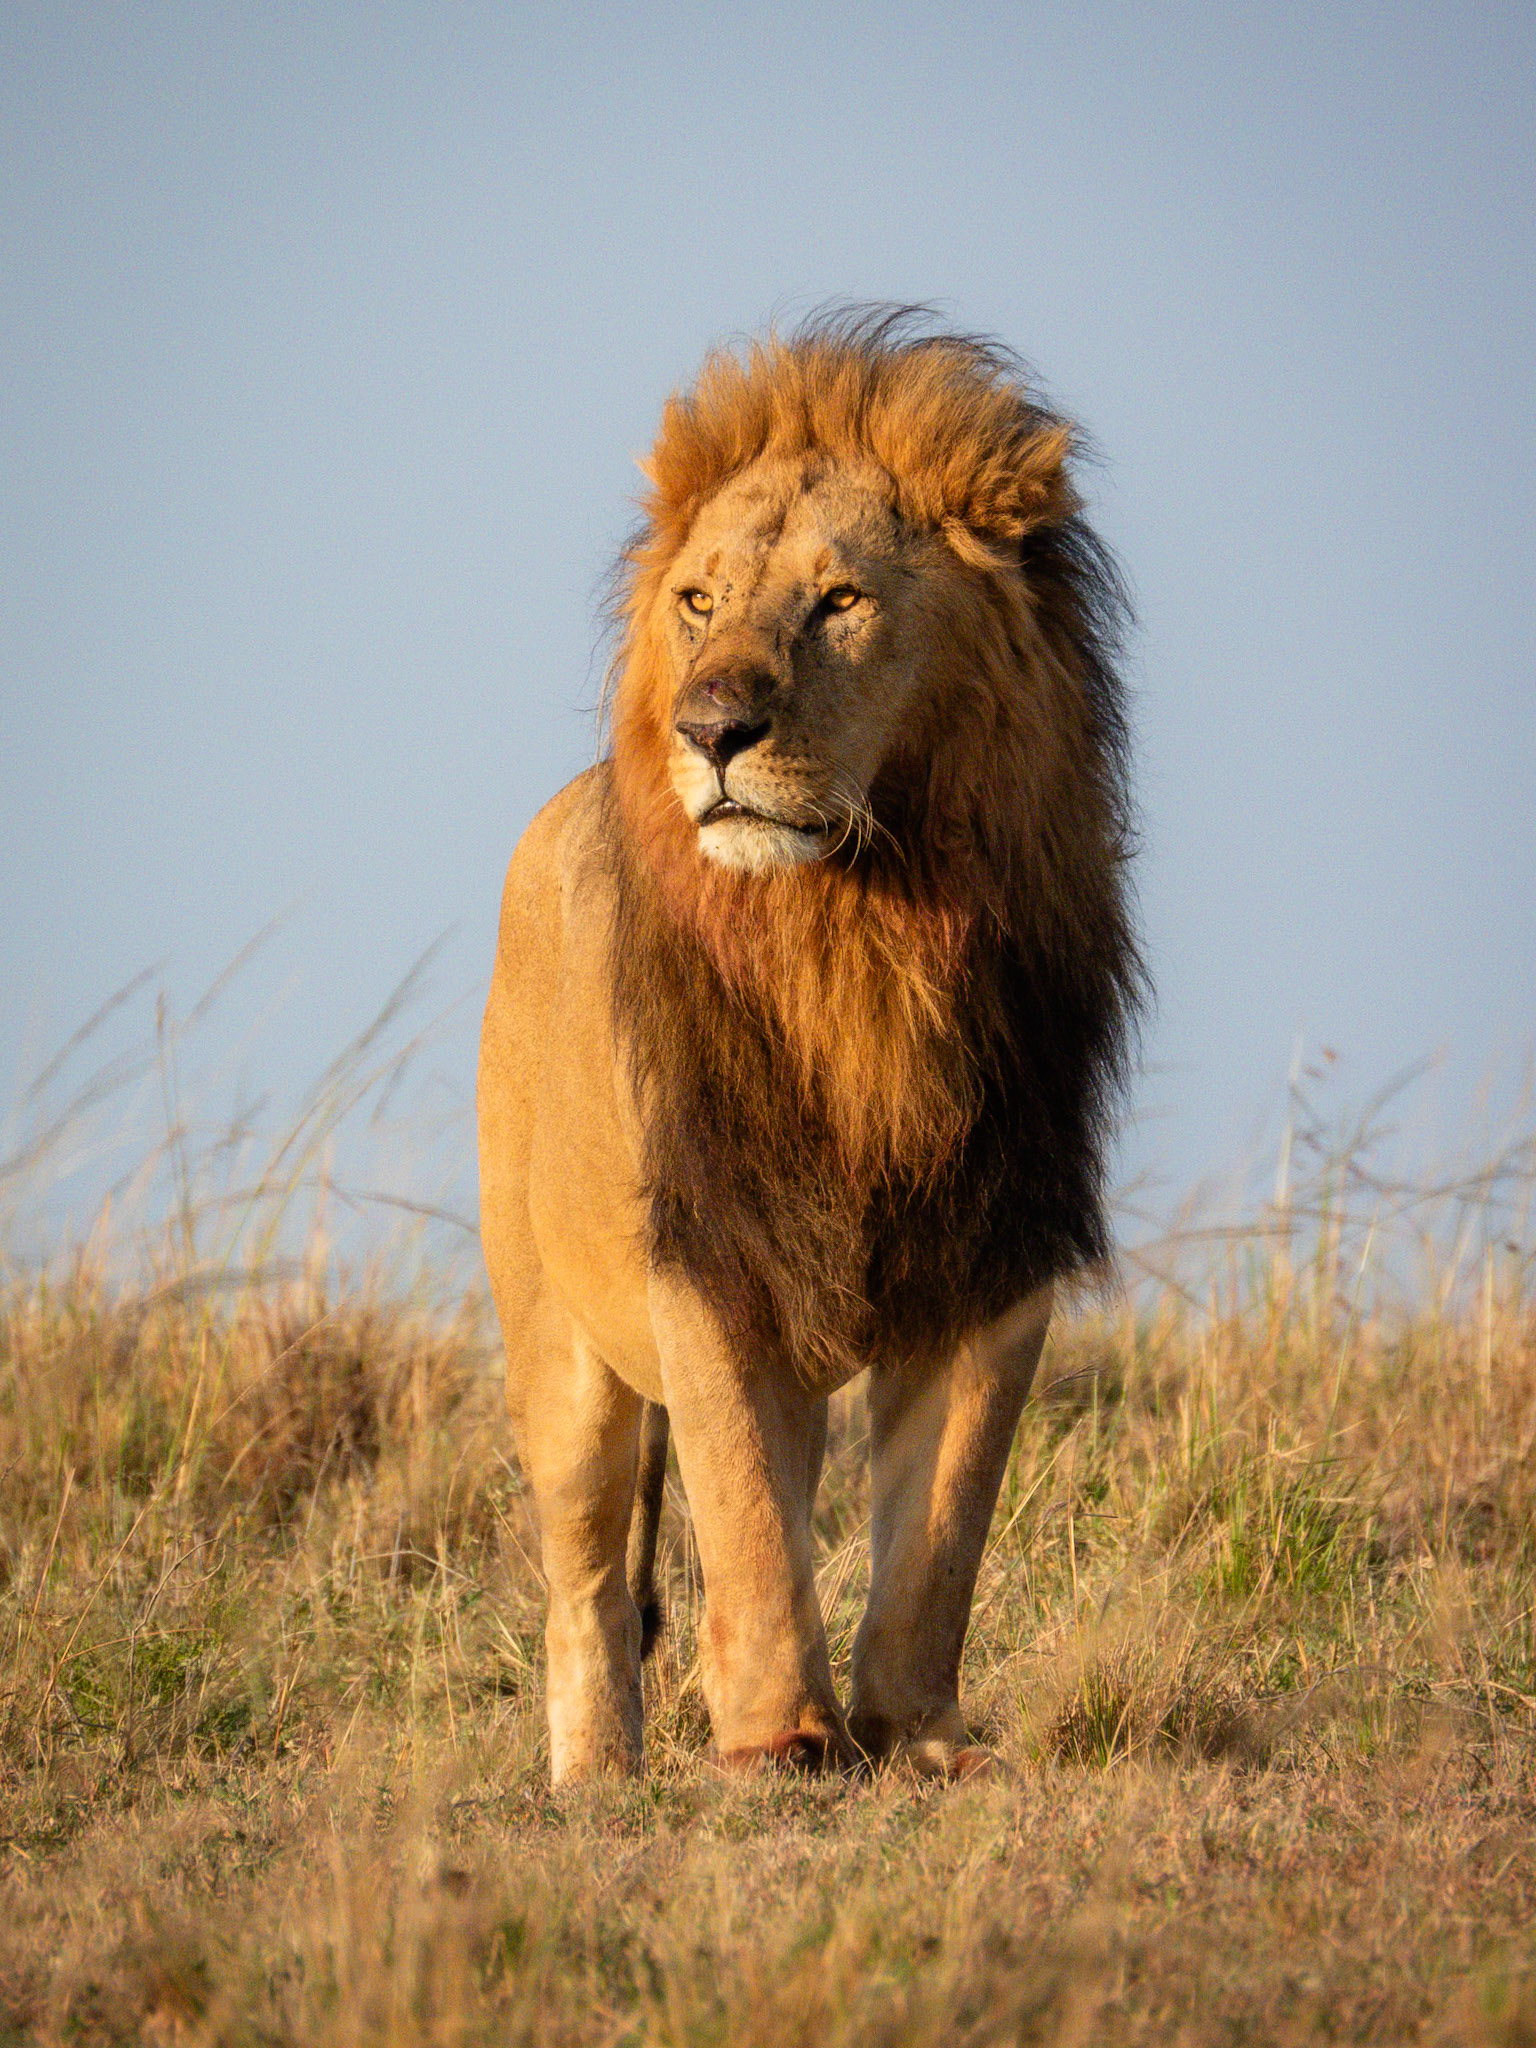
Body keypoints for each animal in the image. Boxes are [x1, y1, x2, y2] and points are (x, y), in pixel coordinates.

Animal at [478, 308, 1142, 1783]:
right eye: (700, 604)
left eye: (841, 601)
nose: (712, 729)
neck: (859, 936)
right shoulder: (712, 1250)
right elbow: (744, 1517)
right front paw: (782, 1739)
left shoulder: (995, 1257)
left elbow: (940, 1538)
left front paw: (915, 1737)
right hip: (557, 1343)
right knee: (586, 1581)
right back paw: (594, 1782)